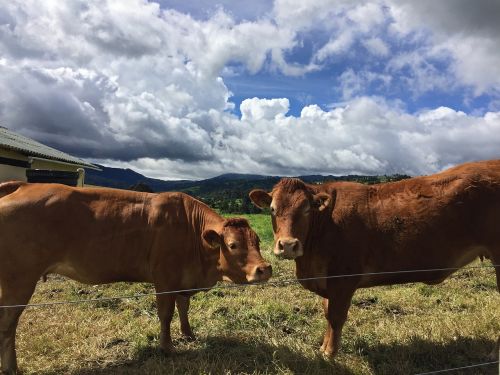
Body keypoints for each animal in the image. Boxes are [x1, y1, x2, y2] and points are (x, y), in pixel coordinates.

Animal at [0, 181, 272, 374]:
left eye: (257, 241)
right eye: (233, 245)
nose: (265, 268)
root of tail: (22, 185)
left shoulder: (182, 279)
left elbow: (184, 307)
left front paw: (188, 334)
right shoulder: (165, 278)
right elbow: (166, 313)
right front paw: (168, 347)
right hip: (19, 280)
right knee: (8, 323)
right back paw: (12, 368)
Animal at [250, 159, 500, 358]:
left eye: (306, 209)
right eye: (272, 209)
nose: (288, 245)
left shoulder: (344, 278)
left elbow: (336, 316)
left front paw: (330, 353)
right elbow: (327, 314)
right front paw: (323, 348)